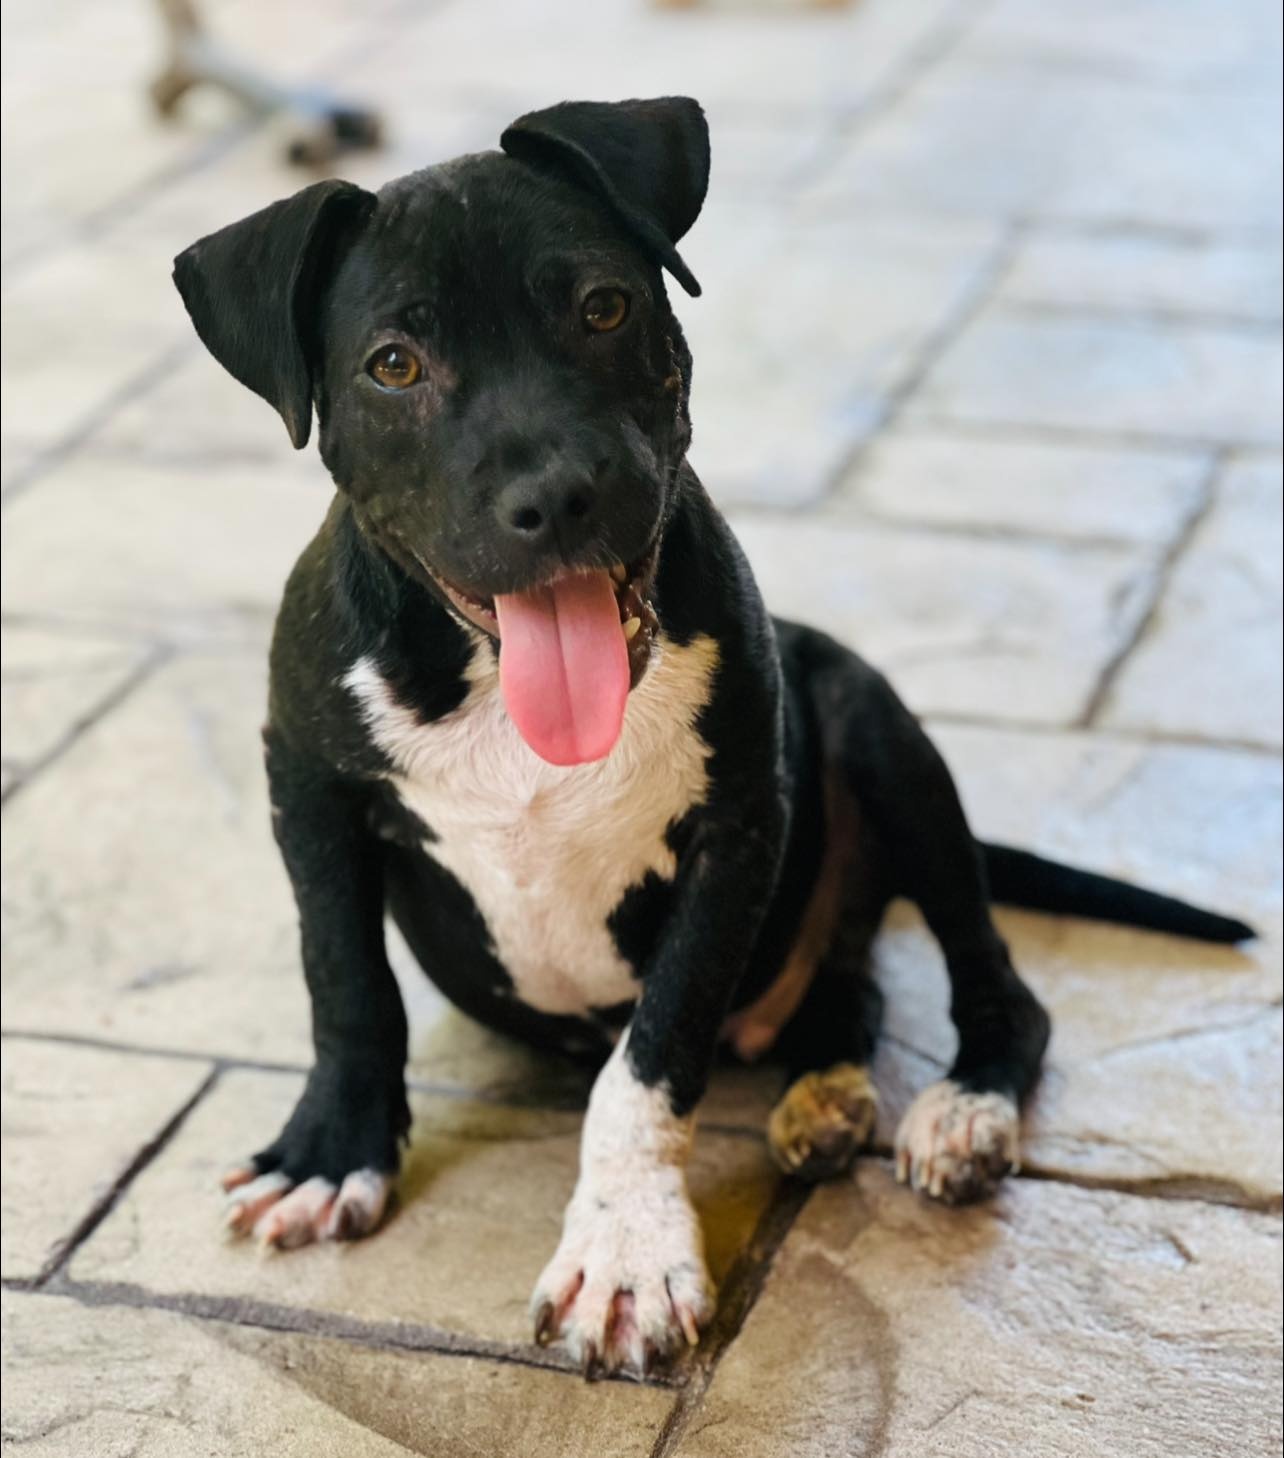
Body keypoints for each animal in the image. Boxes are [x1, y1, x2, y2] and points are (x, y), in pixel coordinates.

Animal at [172, 96, 1253, 1370]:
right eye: (394, 364)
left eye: (604, 306)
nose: (558, 497)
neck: (498, 690)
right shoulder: (306, 785)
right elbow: (343, 979)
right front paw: (333, 1150)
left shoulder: (737, 829)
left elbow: (654, 1054)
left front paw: (626, 1249)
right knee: (853, 995)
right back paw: (827, 1095)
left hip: (881, 735)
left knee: (995, 984)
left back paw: (961, 1110)